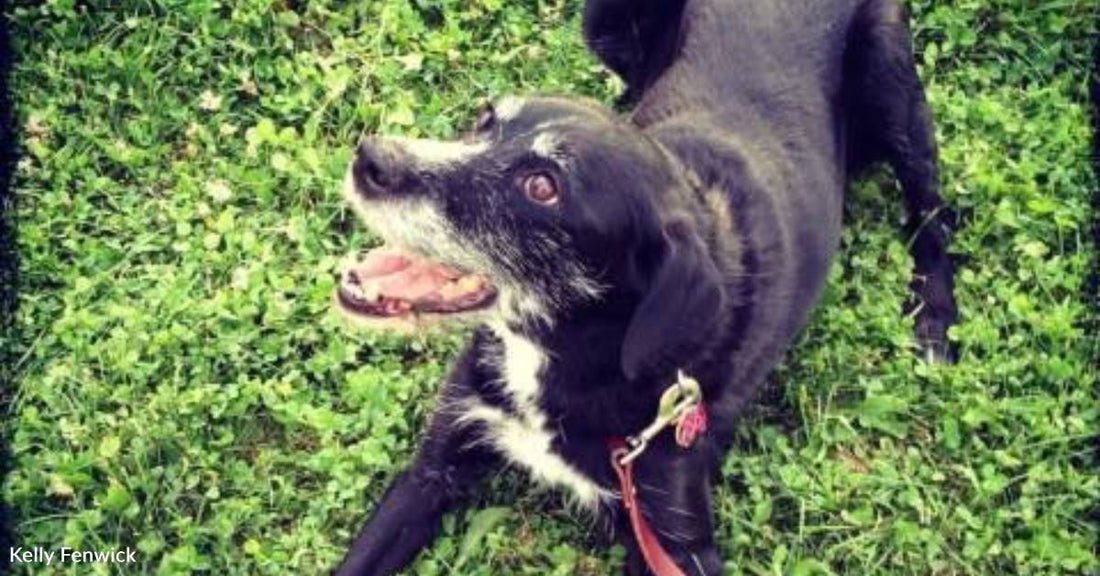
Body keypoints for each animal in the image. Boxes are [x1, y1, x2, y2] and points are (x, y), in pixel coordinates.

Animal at [332, 1, 954, 571]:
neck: (572, 352)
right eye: (484, 119)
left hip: (892, 84)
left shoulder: (676, 539)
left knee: (932, 207)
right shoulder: (435, 465)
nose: (370, 158)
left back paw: (935, 319)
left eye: (542, 187)